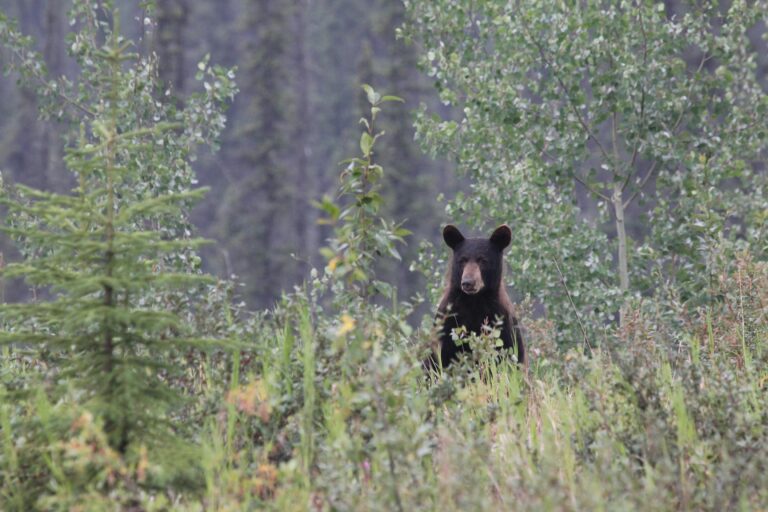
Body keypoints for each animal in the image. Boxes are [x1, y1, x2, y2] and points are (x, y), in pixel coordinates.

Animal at [425, 224, 525, 370]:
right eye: (462, 260)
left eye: (482, 260)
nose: (468, 282)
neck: (474, 301)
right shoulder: (447, 321)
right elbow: (443, 358)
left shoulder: (502, 321)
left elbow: (510, 356)